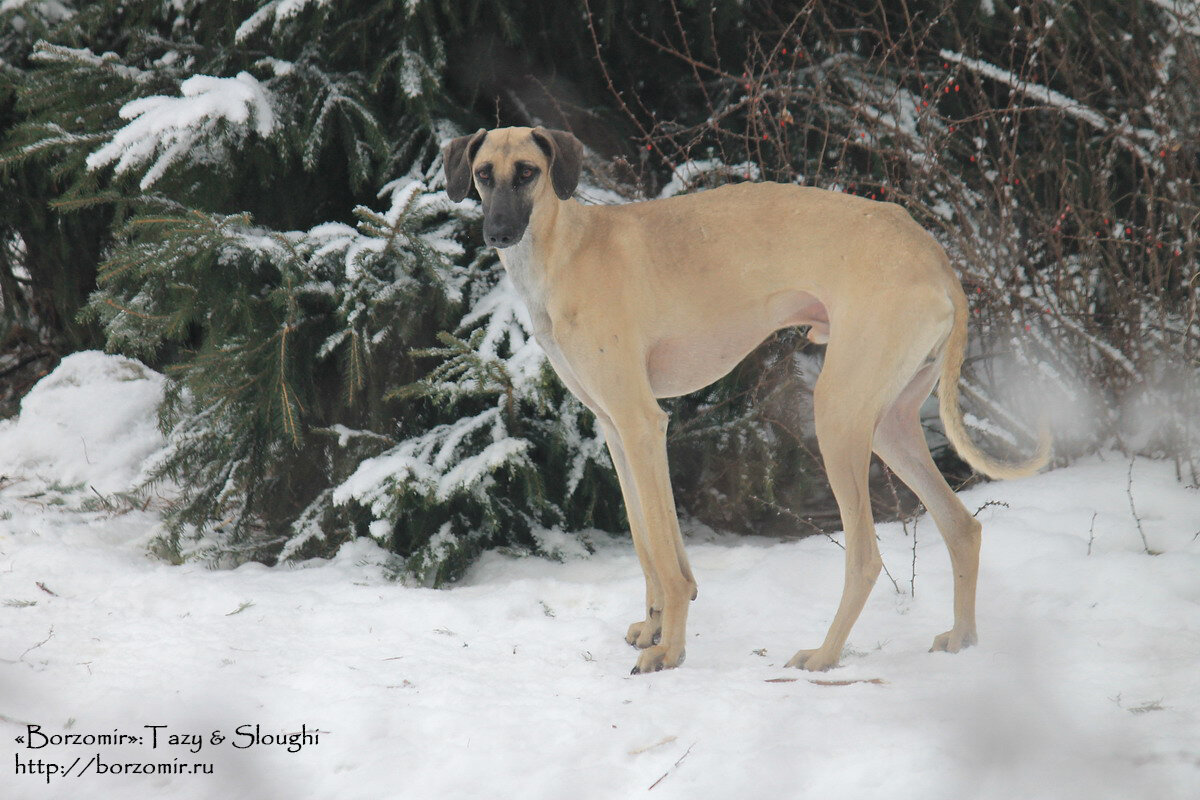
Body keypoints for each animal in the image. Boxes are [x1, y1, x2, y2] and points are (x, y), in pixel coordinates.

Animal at [444, 126, 1051, 676]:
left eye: (528, 172)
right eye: (483, 174)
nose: (497, 232)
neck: (566, 251)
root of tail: (935, 255)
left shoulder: (643, 425)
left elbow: (666, 557)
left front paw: (669, 652)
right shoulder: (615, 431)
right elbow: (648, 543)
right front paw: (655, 627)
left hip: (837, 418)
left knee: (865, 558)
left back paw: (823, 656)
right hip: (889, 425)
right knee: (962, 528)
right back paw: (963, 640)